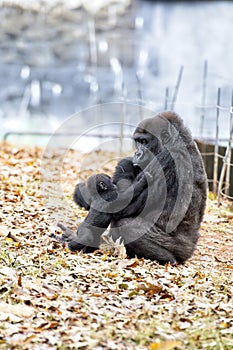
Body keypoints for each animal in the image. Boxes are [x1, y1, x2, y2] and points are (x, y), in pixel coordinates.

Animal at [53, 110, 208, 264]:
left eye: (144, 142)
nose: (137, 153)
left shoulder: (166, 158)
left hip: (179, 248)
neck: (177, 140)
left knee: (126, 224)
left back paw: (167, 258)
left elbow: (120, 207)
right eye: (138, 141)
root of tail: (191, 248)